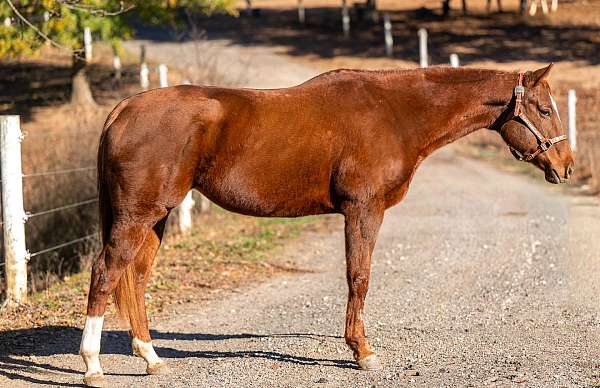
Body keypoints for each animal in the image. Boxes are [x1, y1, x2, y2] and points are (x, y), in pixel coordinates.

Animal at [78, 64, 572, 384]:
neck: (394, 112)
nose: (565, 166)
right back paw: (93, 365)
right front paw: (363, 352)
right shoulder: (363, 209)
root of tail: (123, 108)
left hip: (155, 218)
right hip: (138, 215)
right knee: (106, 273)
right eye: (545, 110)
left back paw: (151, 358)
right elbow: (359, 277)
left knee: (135, 279)